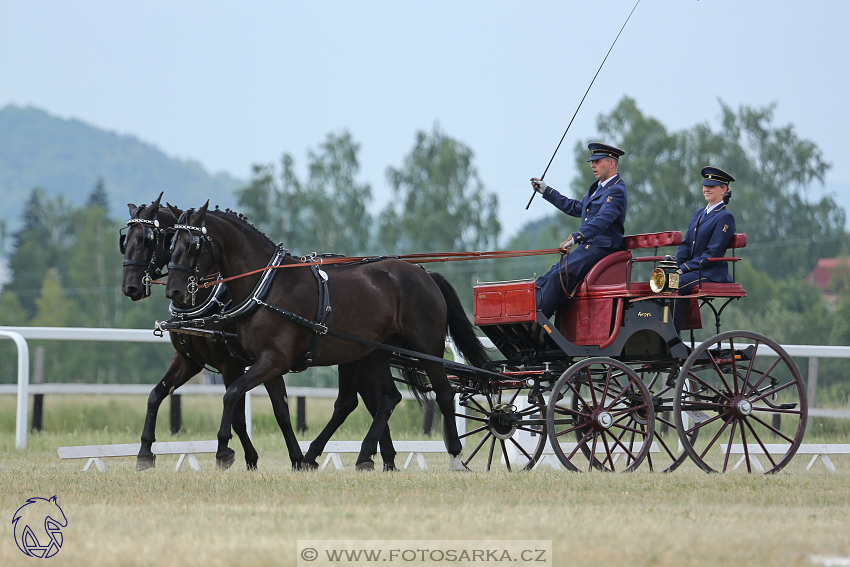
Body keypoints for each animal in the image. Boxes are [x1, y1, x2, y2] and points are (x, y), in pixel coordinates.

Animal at [119, 194, 304, 470]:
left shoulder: (230, 364)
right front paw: (144, 451)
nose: (130, 287)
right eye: (125, 239)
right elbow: (155, 395)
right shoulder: (188, 361)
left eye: (147, 239)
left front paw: (234, 454)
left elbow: (237, 414)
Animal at [164, 203, 490, 470]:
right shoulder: (266, 363)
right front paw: (294, 458)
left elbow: (232, 394)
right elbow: (279, 408)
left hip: (427, 345)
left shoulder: (273, 360)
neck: (266, 287)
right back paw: (355, 456)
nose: (174, 291)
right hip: (375, 352)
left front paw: (223, 450)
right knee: (386, 398)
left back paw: (456, 455)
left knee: (444, 394)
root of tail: (423, 273)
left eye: (193, 244)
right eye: (171, 242)